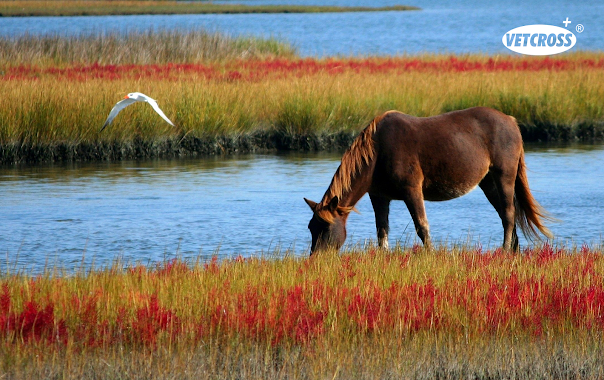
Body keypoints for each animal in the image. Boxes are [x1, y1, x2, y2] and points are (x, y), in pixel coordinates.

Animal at [306, 106, 552, 255]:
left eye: (326, 228)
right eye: (310, 227)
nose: (316, 258)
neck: (377, 151)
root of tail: (511, 121)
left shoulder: (412, 190)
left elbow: (422, 226)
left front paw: (430, 254)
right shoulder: (379, 196)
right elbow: (382, 230)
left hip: (504, 176)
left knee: (509, 214)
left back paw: (505, 250)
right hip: (488, 182)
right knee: (505, 214)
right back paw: (513, 250)